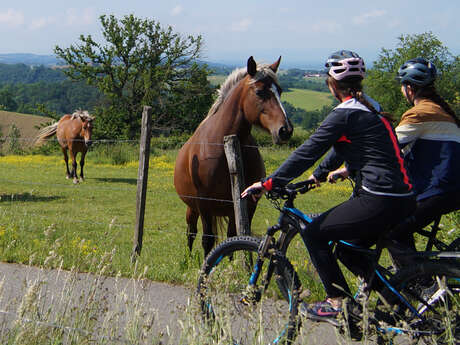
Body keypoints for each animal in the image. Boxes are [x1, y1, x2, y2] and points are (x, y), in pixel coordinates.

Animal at [174, 55, 292, 255]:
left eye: (281, 91)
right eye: (259, 92)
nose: (285, 130)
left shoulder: (248, 203)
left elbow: (236, 238)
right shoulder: (205, 204)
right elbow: (207, 240)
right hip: (193, 207)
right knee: (191, 232)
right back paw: (188, 259)